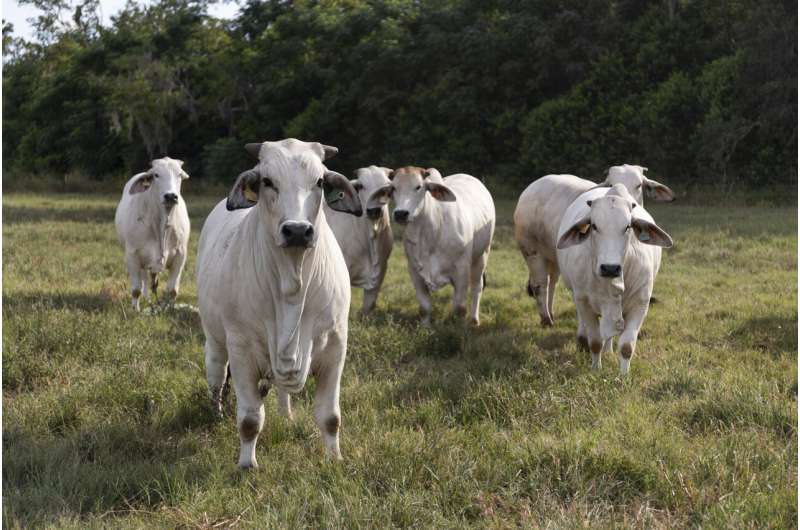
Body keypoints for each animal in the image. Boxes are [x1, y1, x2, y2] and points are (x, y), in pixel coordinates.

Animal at [114, 156, 191, 310]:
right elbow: (136, 289)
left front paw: (170, 309)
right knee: (144, 279)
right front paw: (135, 310)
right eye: (156, 175)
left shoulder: (181, 255)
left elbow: (172, 290)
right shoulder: (132, 254)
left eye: (179, 174)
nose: (170, 196)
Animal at [197, 137, 362, 466]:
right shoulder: (241, 349)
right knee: (216, 373)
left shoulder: (336, 345)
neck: (291, 285)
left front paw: (334, 459)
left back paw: (286, 416)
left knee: (282, 390)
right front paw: (247, 465)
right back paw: (216, 412)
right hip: (216, 338)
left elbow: (330, 417)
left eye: (320, 181)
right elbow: (250, 419)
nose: (297, 230)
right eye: (267, 181)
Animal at [368, 165, 494, 324]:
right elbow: (425, 306)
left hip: (482, 255)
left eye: (418, 186)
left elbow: (459, 308)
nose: (401, 213)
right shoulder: (414, 271)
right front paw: (425, 326)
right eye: (393, 188)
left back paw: (474, 319)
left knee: (477, 287)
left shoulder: (462, 270)